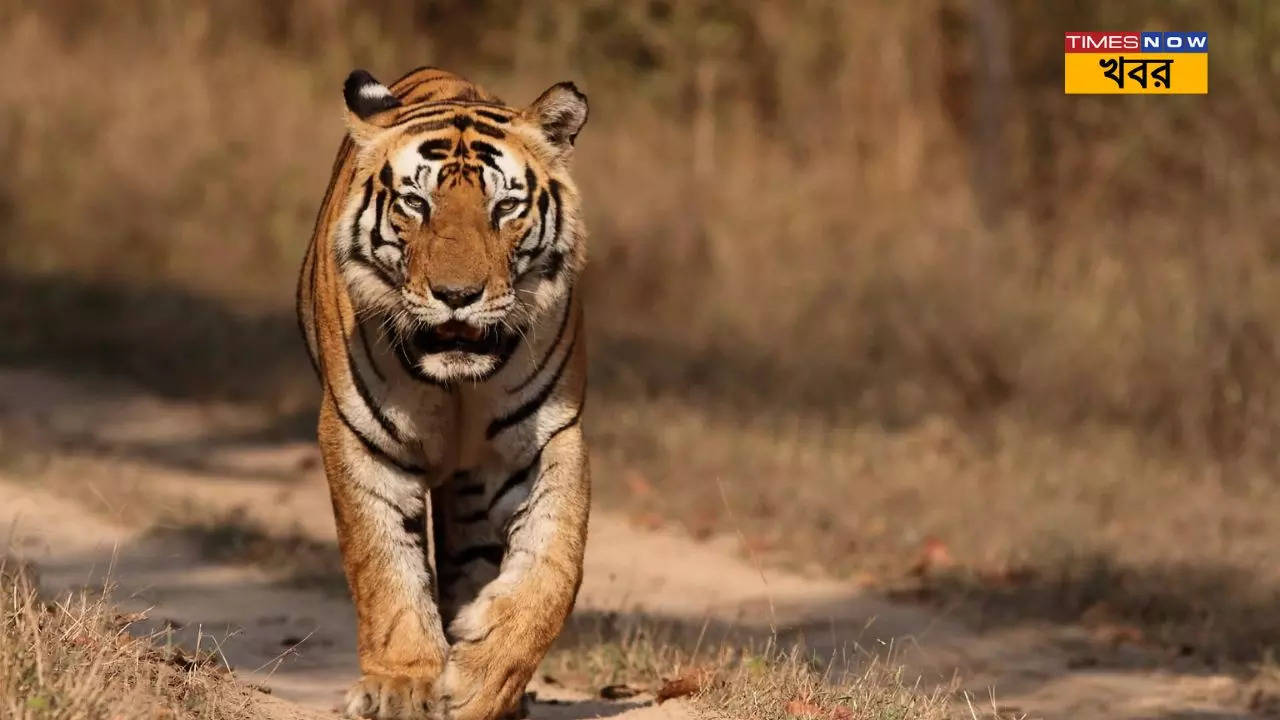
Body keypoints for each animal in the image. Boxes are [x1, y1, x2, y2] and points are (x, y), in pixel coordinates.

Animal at [299, 64, 593, 712]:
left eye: (505, 207)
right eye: (416, 203)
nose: (457, 296)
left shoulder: (545, 439)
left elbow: (553, 569)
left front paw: (483, 681)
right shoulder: (362, 439)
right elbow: (384, 568)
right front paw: (402, 684)